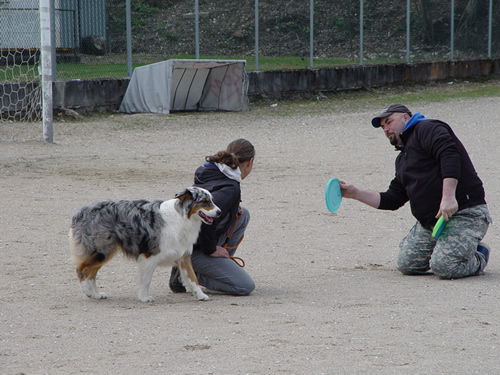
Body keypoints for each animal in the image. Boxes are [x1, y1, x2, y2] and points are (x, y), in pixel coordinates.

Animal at [69, 187, 221, 304]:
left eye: (212, 200)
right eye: (205, 201)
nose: (219, 212)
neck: (181, 218)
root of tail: (80, 212)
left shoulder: (183, 256)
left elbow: (192, 278)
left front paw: (200, 295)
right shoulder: (150, 255)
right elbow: (146, 280)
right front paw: (144, 297)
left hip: (105, 252)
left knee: (91, 272)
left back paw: (96, 294)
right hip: (102, 251)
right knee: (81, 269)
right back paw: (87, 291)